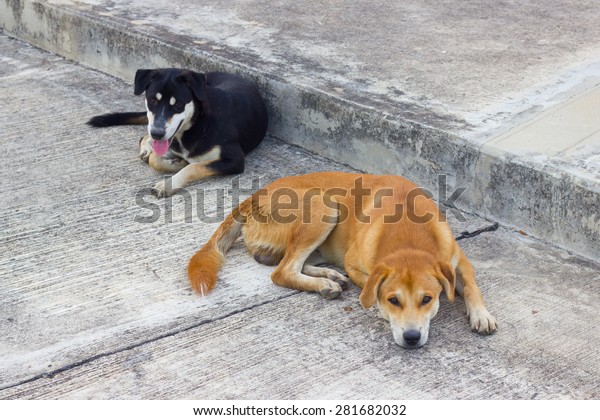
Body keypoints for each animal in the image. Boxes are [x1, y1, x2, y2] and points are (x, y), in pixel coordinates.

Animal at [88, 68, 268, 197]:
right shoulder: (171, 143)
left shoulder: (234, 160)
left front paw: (168, 183)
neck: (197, 124)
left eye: (178, 104)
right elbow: (156, 159)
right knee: (144, 136)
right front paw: (176, 163)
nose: (157, 133)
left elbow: (193, 166)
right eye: (152, 100)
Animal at [189, 171, 496, 348]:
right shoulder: (355, 264)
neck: (409, 233)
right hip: (322, 207)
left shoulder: (458, 260)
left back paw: (329, 276)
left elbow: (472, 286)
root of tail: (252, 197)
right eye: (393, 300)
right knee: (282, 271)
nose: (411, 338)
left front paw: (481, 314)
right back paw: (324, 284)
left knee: (285, 262)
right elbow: (368, 287)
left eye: (427, 299)